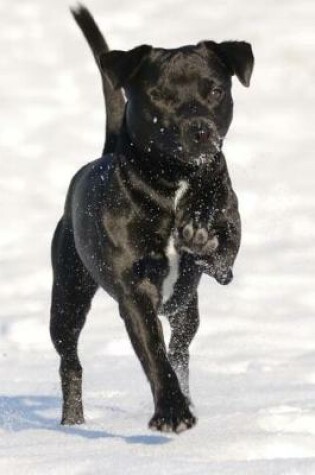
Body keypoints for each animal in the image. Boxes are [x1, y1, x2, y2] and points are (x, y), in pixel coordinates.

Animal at [50, 4, 256, 436]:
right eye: (159, 95)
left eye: (215, 90)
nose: (200, 130)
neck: (175, 181)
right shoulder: (134, 291)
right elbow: (154, 357)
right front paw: (172, 413)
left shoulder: (228, 235)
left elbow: (224, 255)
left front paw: (201, 239)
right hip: (68, 296)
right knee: (70, 361)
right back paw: (73, 423)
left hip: (186, 308)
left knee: (181, 347)